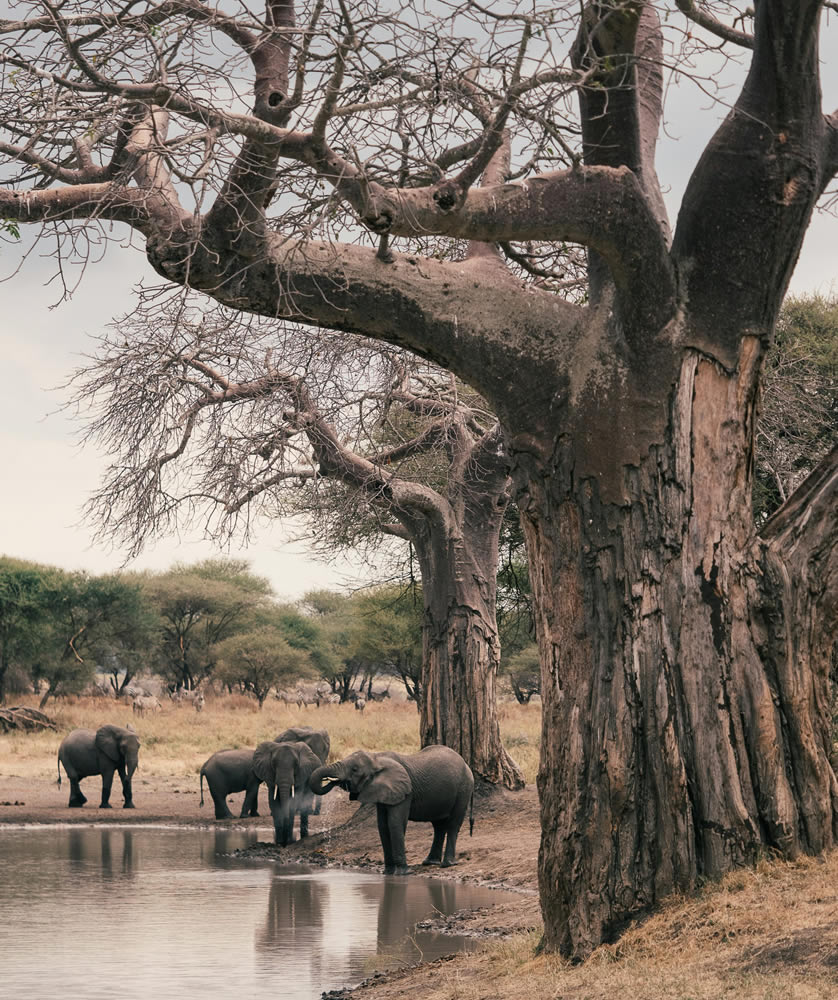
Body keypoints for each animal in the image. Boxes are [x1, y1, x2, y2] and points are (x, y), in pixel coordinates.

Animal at [309, 745, 474, 875]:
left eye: (354, 769)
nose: (332, 781)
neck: (376, 758)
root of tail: (466, 764)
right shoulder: (383, 792)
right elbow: (382, 826)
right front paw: (388, 873)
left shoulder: (405, 792)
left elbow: (395, 824)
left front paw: (403, 873)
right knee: (438, 826)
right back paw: (430, 862)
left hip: (464, 788)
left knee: (453, 824)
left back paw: (449, 864)